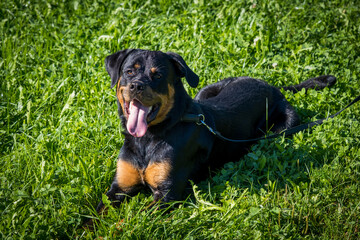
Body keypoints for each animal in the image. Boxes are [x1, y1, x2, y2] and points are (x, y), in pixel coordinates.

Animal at [95, 49, 334, 212]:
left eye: (158, 76)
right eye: (128, 72)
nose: (136, 85)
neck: (149, 139)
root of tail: (273, 87)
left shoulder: (167, 194)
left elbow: (136, 218)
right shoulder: (119, 187)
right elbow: (95, 215)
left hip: (284, 127)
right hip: (206, 90)